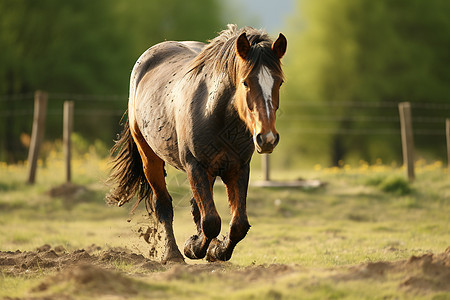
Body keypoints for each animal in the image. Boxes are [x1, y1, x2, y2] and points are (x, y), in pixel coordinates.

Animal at [107, 24, 286, 262]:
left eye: (279, 82)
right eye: (245, 82)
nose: (267, 138)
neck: (214, 113)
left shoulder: (237, 168)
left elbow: (237, 224)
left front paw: (216, 249)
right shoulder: (195, 166)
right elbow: (210, 221)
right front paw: (194, 247)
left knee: (197, 207)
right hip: (150, 159)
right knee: (163, 204)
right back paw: (173, 254)